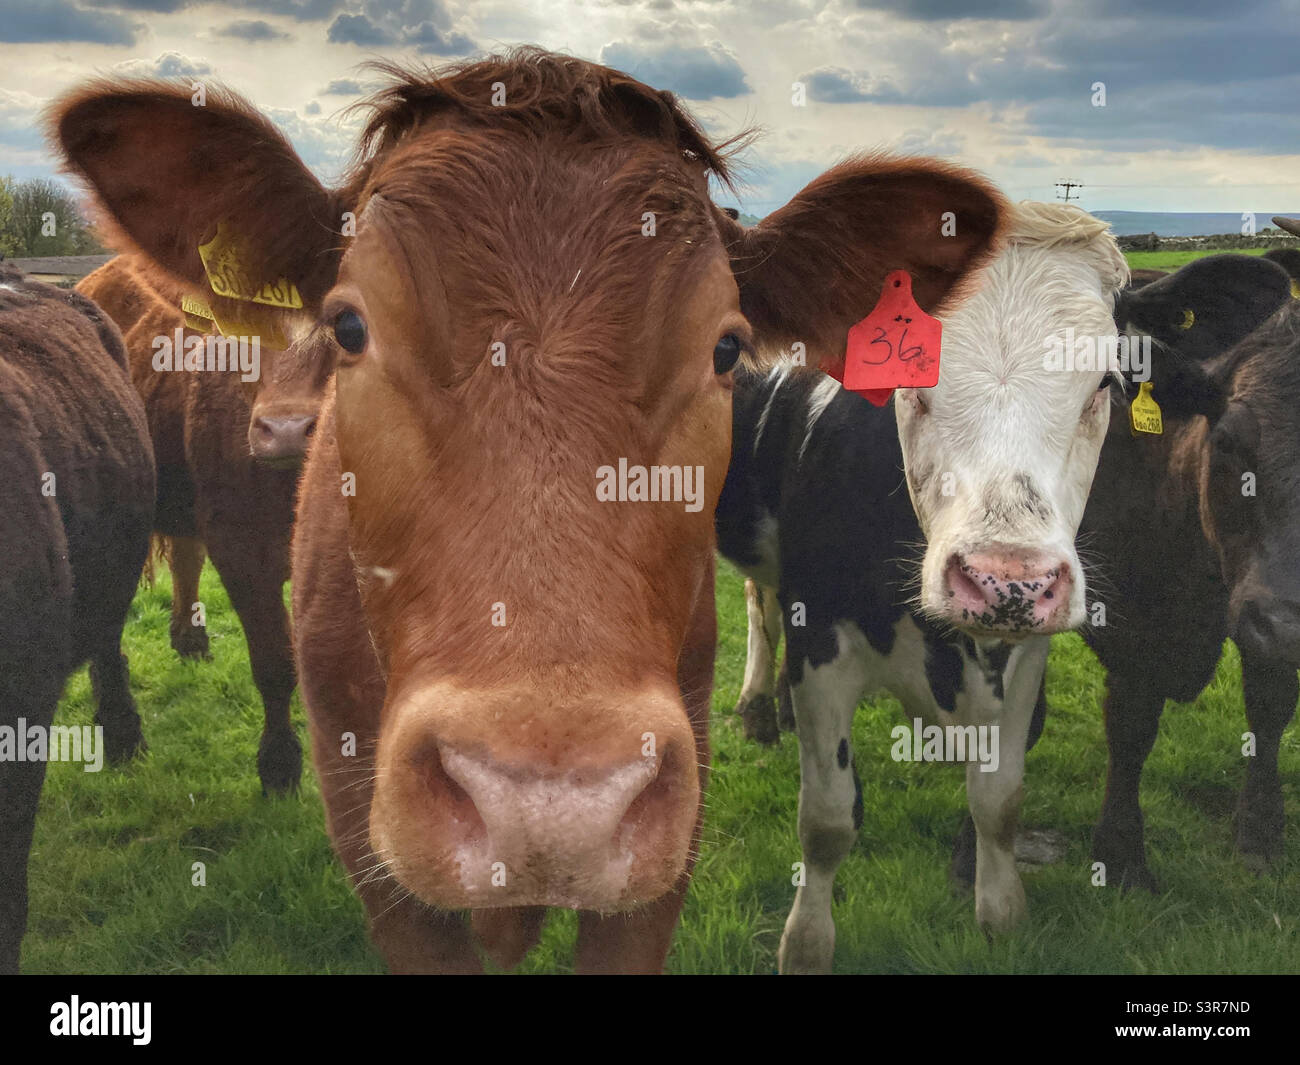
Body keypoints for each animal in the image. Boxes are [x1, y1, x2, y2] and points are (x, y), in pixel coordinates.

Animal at [75, 255, 334, 793]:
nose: (286, 430)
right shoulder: (241, 550)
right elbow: (275, 663)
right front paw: (279, 765)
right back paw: (119, 727)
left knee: (185, 554)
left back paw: (189, 641)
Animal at [718, 201, 1128, 973]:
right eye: (911, 366)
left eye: (1106, 383)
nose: (1005, 579)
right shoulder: (823, 643)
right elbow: (826, 821)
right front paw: (805, 943)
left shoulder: (1026, 654)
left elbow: (1000, 801)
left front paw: (1002, 918)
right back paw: (757, 704)